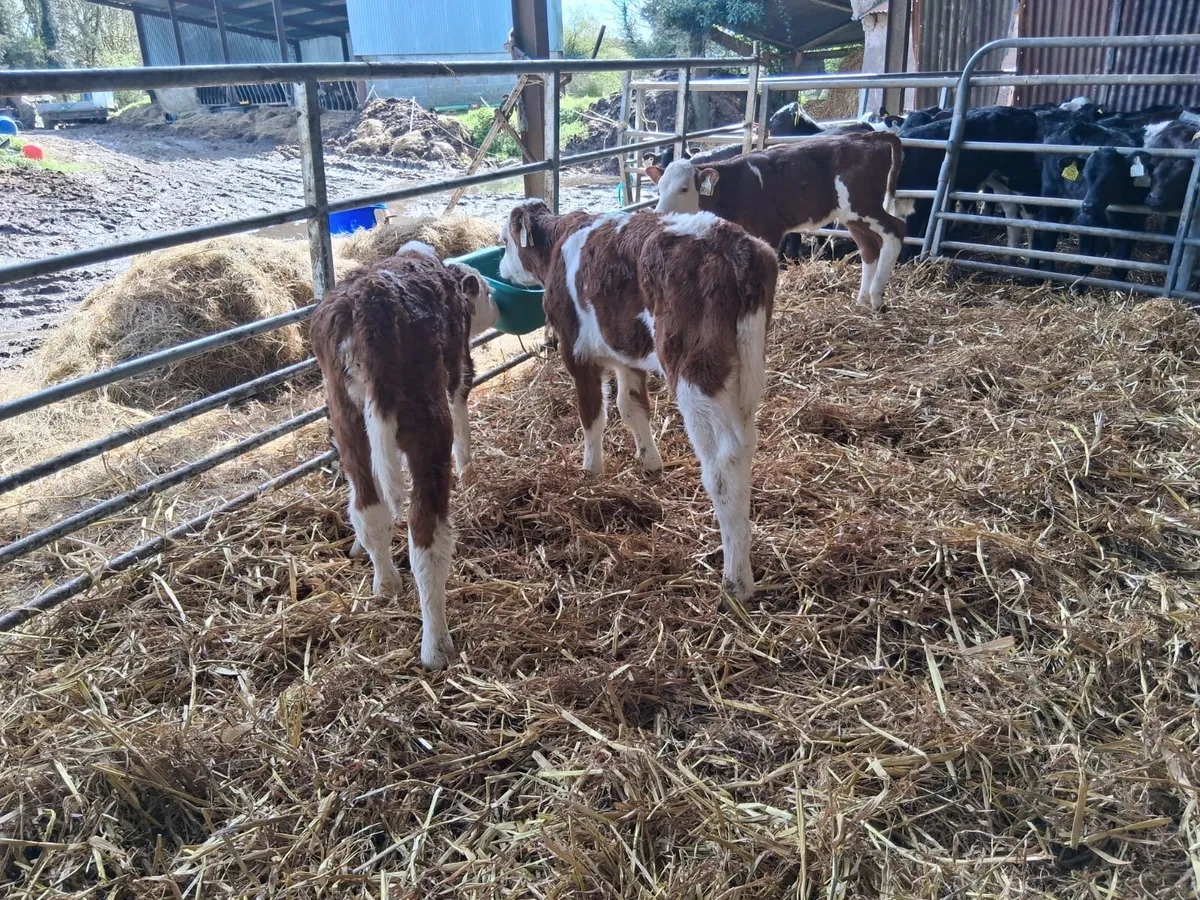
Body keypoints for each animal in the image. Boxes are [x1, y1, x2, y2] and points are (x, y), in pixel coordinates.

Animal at [311, 242, 499, 669]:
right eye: (484, 290)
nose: (497, 305)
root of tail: (366, 306)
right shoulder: (459, 366)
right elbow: (463, 409)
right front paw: (468, 469)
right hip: (428, 427)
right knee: (425, 538)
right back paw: (436, 646)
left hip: (348, 422)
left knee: (369, 507)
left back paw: (384, 582)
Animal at [498, 200, 778, 601]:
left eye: (504, 241)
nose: (501, 270)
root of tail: (732, 242)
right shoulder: (625, 355)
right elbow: (631, 407)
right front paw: (650, 463)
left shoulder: (576, 350)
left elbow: (592, 414)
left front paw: (590, 471)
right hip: (745, 371)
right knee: (745, 444)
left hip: (696, 371)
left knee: (724, 463)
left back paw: (736, 581)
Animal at [646, 131, 905, 312]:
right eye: (659, 187)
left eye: (684, 188)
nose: (660, 213)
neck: (737, 186)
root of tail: (867, 136)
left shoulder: (769, 229)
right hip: (852, 215)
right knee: (869, 248)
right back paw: (862, 301)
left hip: (865, 205)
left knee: (896, 230)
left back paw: (876, 297)